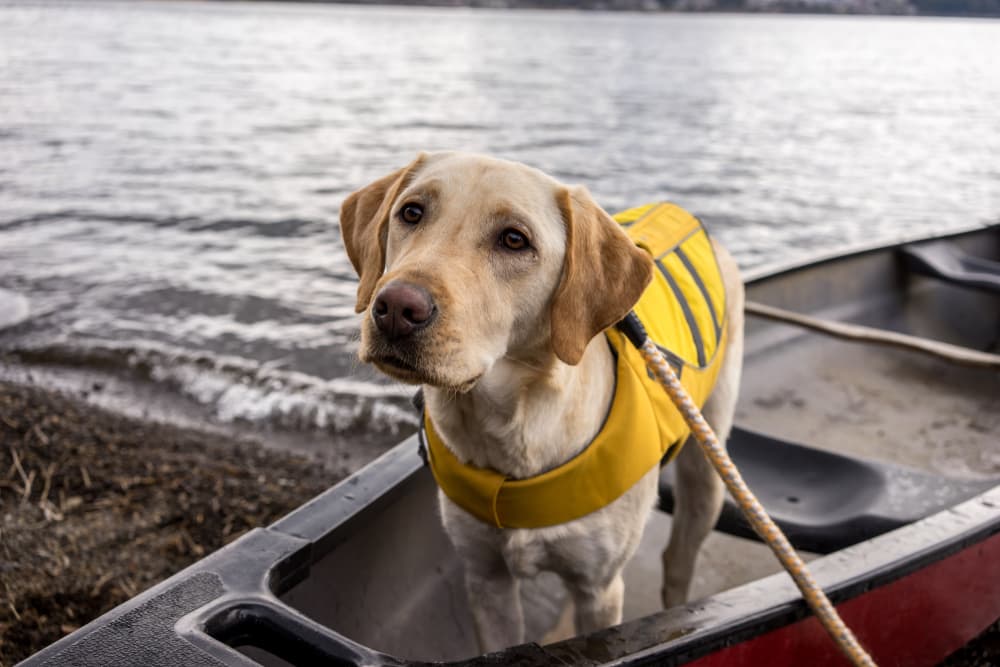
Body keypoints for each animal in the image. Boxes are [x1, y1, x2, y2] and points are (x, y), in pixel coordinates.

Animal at [342, 151, 744, 652]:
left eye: (515, 240)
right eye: (411, 212)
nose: (396, 308)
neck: (511, 427)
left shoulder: (599, 589)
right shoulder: (487, 579)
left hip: (708, 472)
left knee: (678, 560)